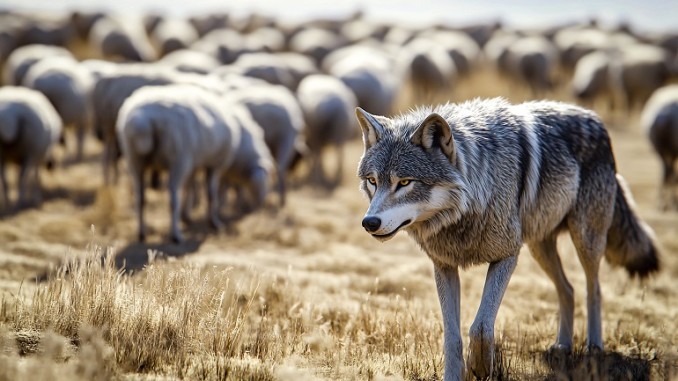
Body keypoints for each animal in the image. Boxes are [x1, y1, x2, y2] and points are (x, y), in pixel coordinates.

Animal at [117, 84, 242, 242]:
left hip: (135, 161)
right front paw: (213, 222)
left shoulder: (194, 163)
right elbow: (210, 193)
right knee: (173, 200)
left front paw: (186, 216)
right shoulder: (213, 165)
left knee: (140, 199)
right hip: (177, 159)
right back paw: (176, 234)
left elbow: (189, 187)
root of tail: (143, 120)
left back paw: (141, 232)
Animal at [358, 98, 660, 380]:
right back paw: (562, 346)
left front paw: (481, 367)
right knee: (568, 289)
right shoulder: (444, 266)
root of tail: (594, 118)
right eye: (373, 181)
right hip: (539, 247)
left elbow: (480, 326)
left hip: (585, 240)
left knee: (593, 289)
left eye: (404, 182)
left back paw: (593, 349)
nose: (369, 223)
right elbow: (452, 336)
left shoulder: (507, 255)